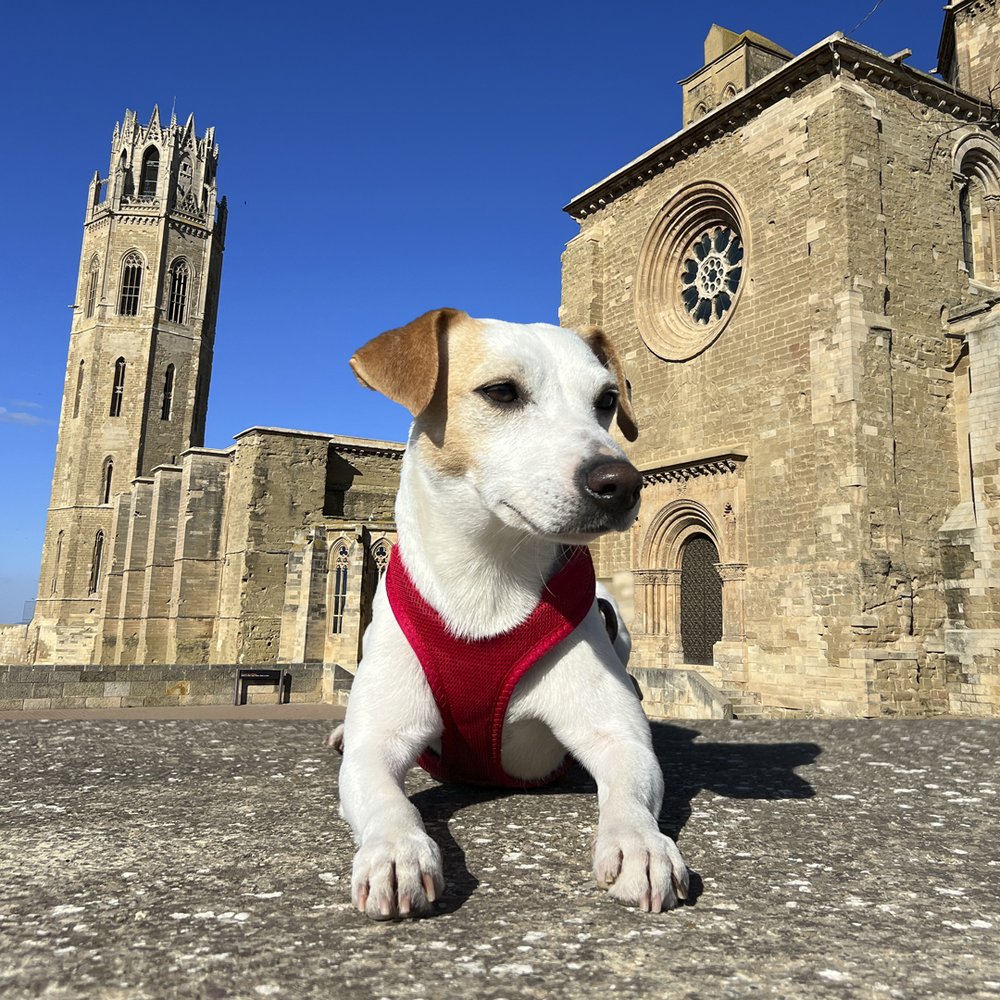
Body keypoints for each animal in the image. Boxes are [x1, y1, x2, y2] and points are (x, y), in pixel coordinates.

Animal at [336, 310, 688, 920]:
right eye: (501, 391)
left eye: (607, 399)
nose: (622, 483)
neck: (488, 578)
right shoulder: (376, 743)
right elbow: (387, 799)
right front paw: (397, 851)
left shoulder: (616, 735)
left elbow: (631, 788)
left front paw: (641, 844)